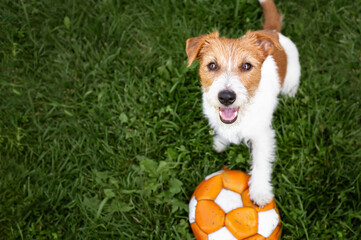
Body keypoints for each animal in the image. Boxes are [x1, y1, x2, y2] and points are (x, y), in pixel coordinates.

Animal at [184, 0, 300, 206]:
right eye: (212, 65)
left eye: (247, 66)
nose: (226, 97)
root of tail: (271, 30)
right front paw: (221, 141)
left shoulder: (263, 136)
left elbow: (261, 163)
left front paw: (260, 192)